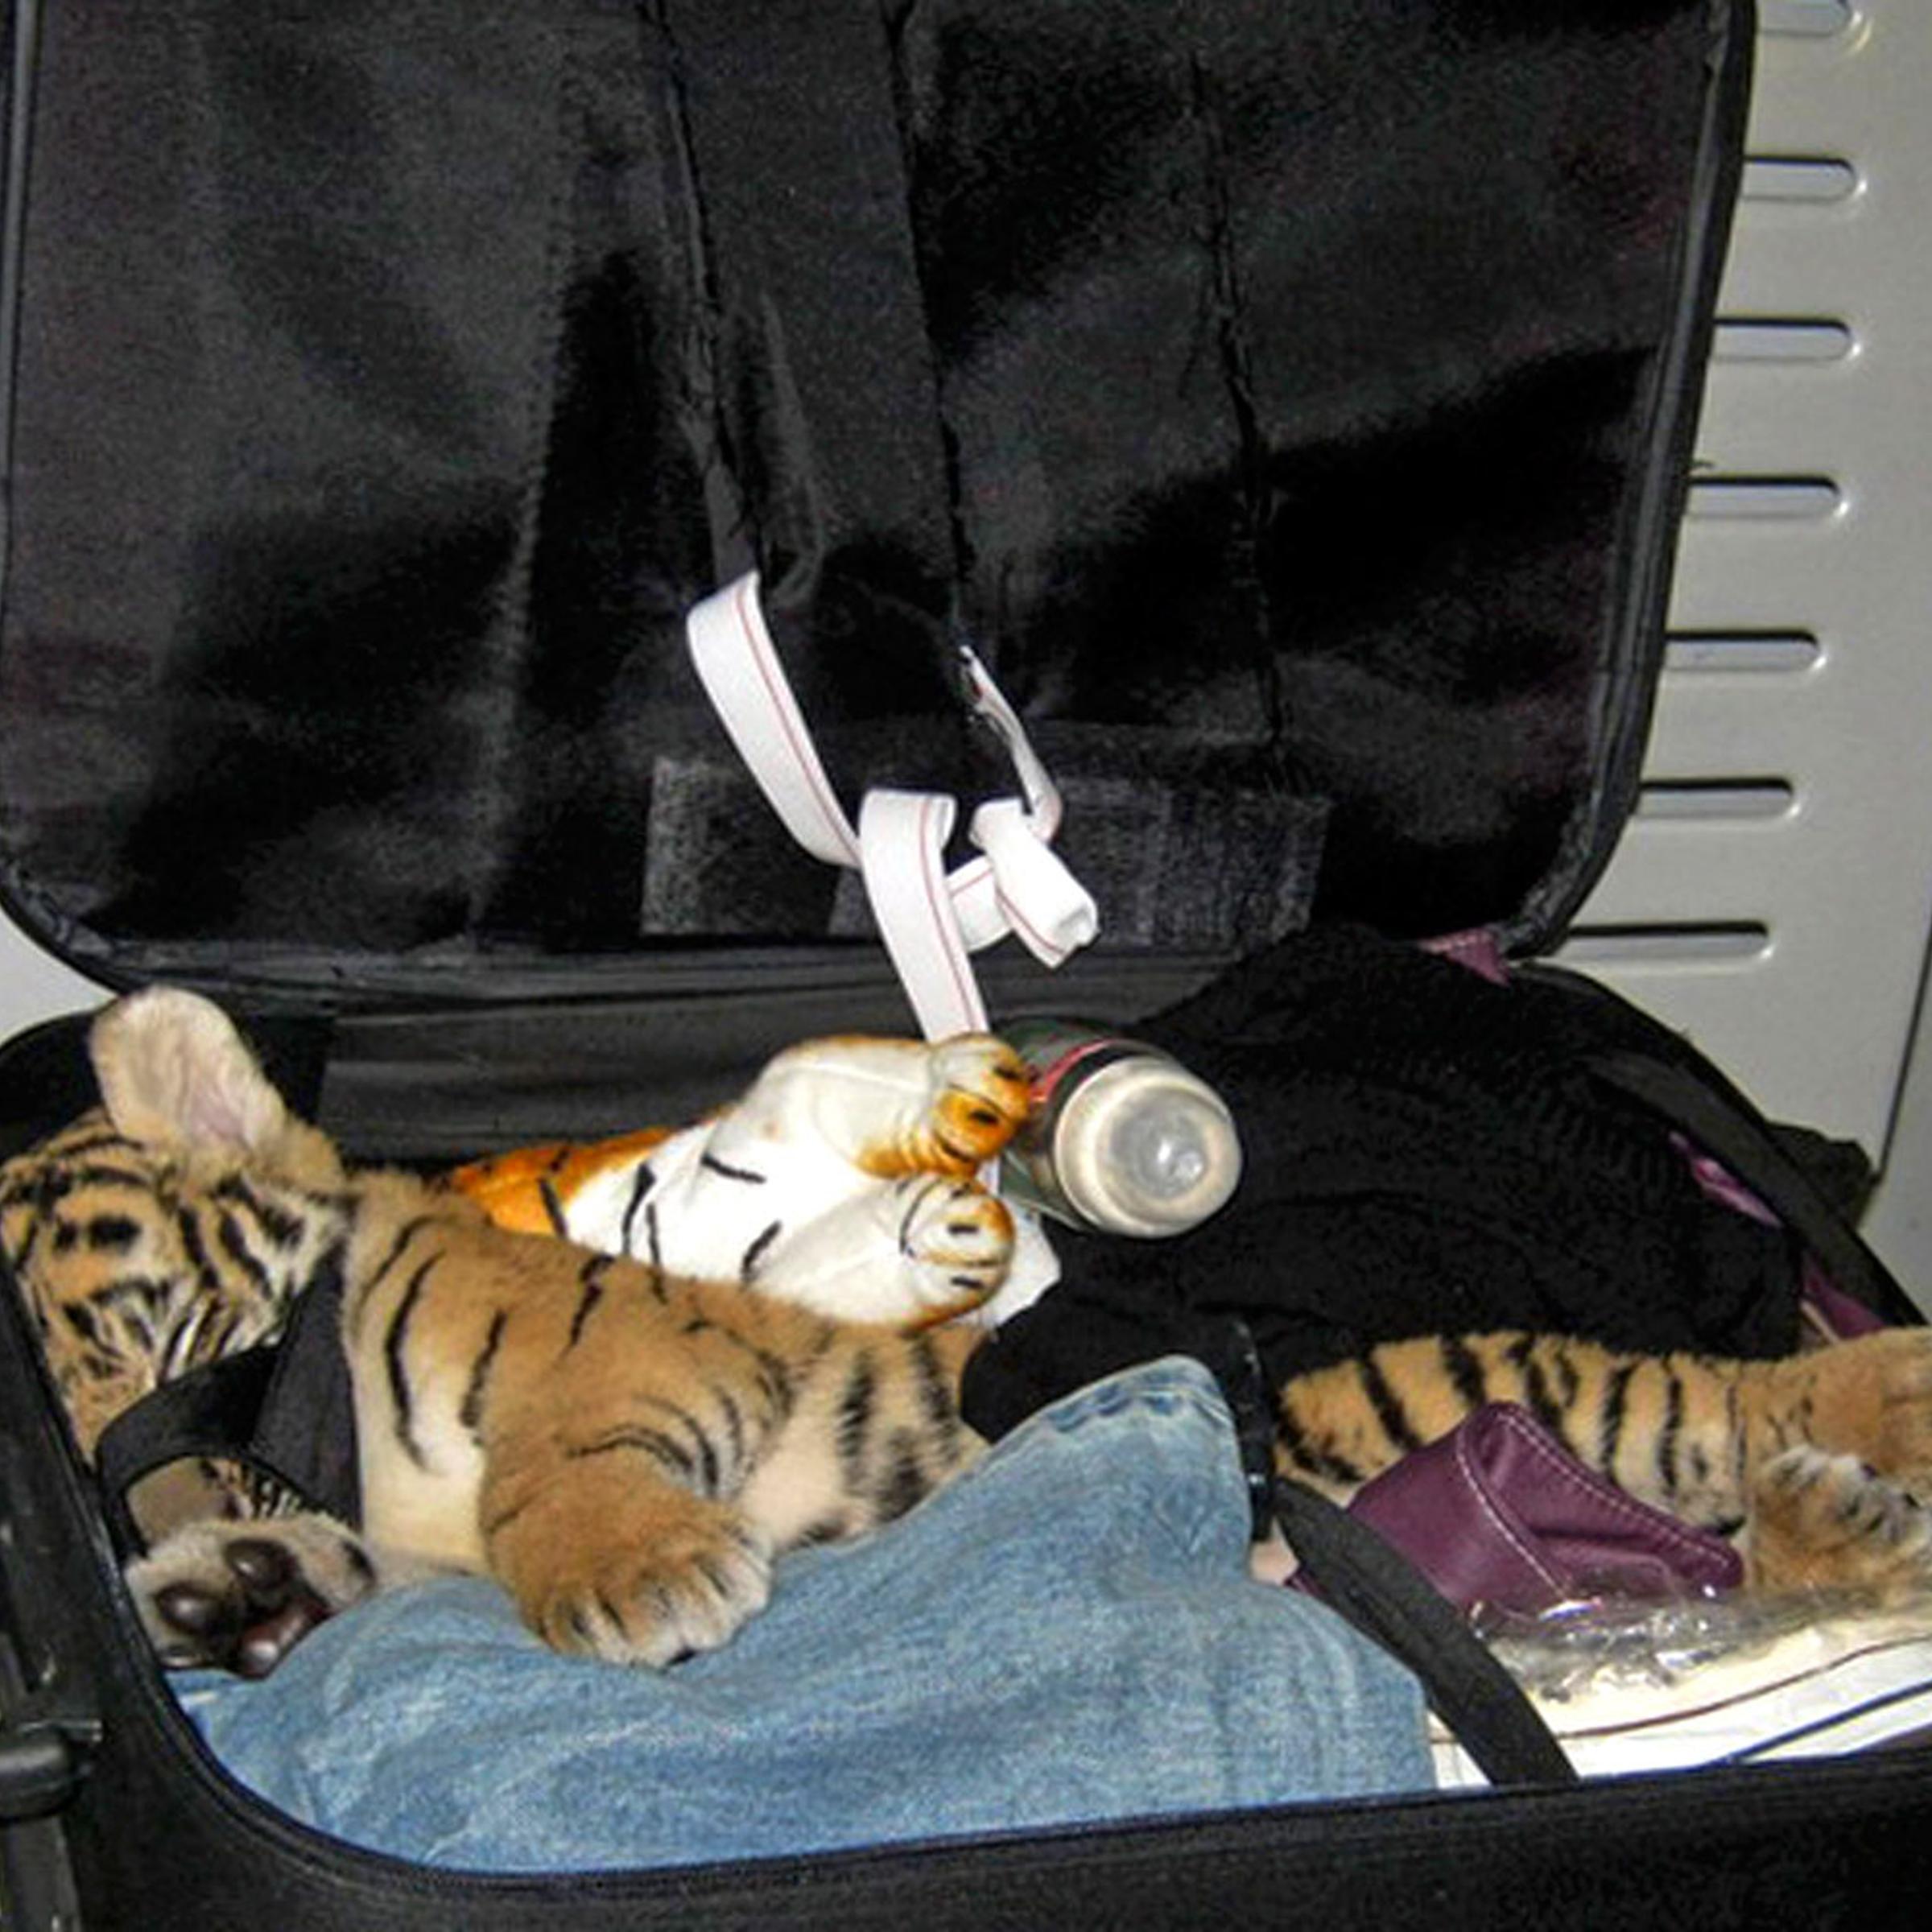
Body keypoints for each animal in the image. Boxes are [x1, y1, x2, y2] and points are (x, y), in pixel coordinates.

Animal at [4, 987, 1932, 1680]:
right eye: (77, 1456)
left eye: (176, 1342)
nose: (154, 1521)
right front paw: (225, 1597)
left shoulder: (619, 1354)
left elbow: (552, 1465)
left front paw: (633, 1578)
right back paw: (1837, 1523)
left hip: (1446, 1377)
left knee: (1715, 1401)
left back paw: (1883, 1400)